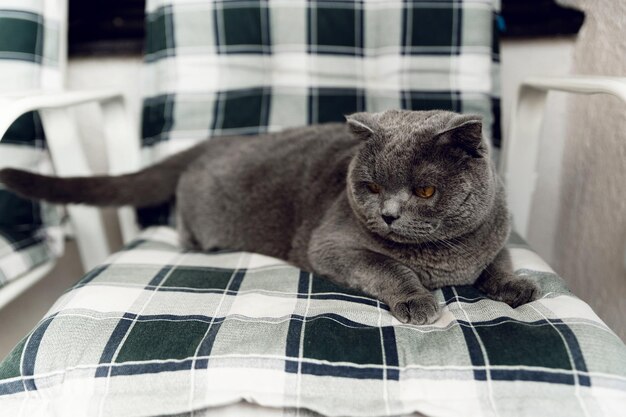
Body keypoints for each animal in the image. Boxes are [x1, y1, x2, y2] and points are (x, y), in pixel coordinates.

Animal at [0, 109, 536, 322]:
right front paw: (417, 300)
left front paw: (515, 287)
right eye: (371, 187)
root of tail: (214, 142)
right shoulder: (331, 243)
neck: (445, 258)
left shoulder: (495, 234)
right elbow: (388, 266)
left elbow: (499, 261)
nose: (386, 215)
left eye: (425, 190)